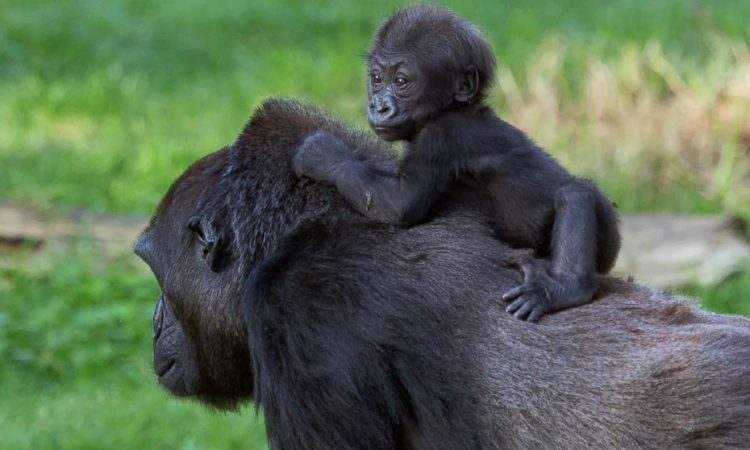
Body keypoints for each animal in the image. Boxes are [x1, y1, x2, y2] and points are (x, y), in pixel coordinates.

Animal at [296, 5, 624, 322]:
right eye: (376, 79)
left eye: (401, 82)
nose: (379, 106)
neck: (450, 107)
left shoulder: (442, 136)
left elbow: (398, 204)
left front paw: (323, 154)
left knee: (576, 194)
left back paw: (566, 287)